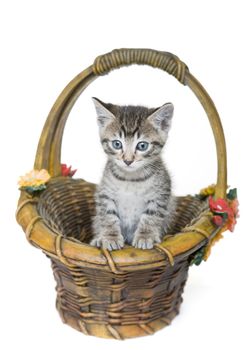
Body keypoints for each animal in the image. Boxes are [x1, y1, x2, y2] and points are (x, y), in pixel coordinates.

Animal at [90, 97, 176, 250]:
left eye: (142, 146)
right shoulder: (105, 193)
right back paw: (98, 239)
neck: (130, 179)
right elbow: (108, 216)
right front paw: (110, 237)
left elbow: (151, 216)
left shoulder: (161, 193)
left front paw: (145, 236)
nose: (128, 161)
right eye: (117, 144)